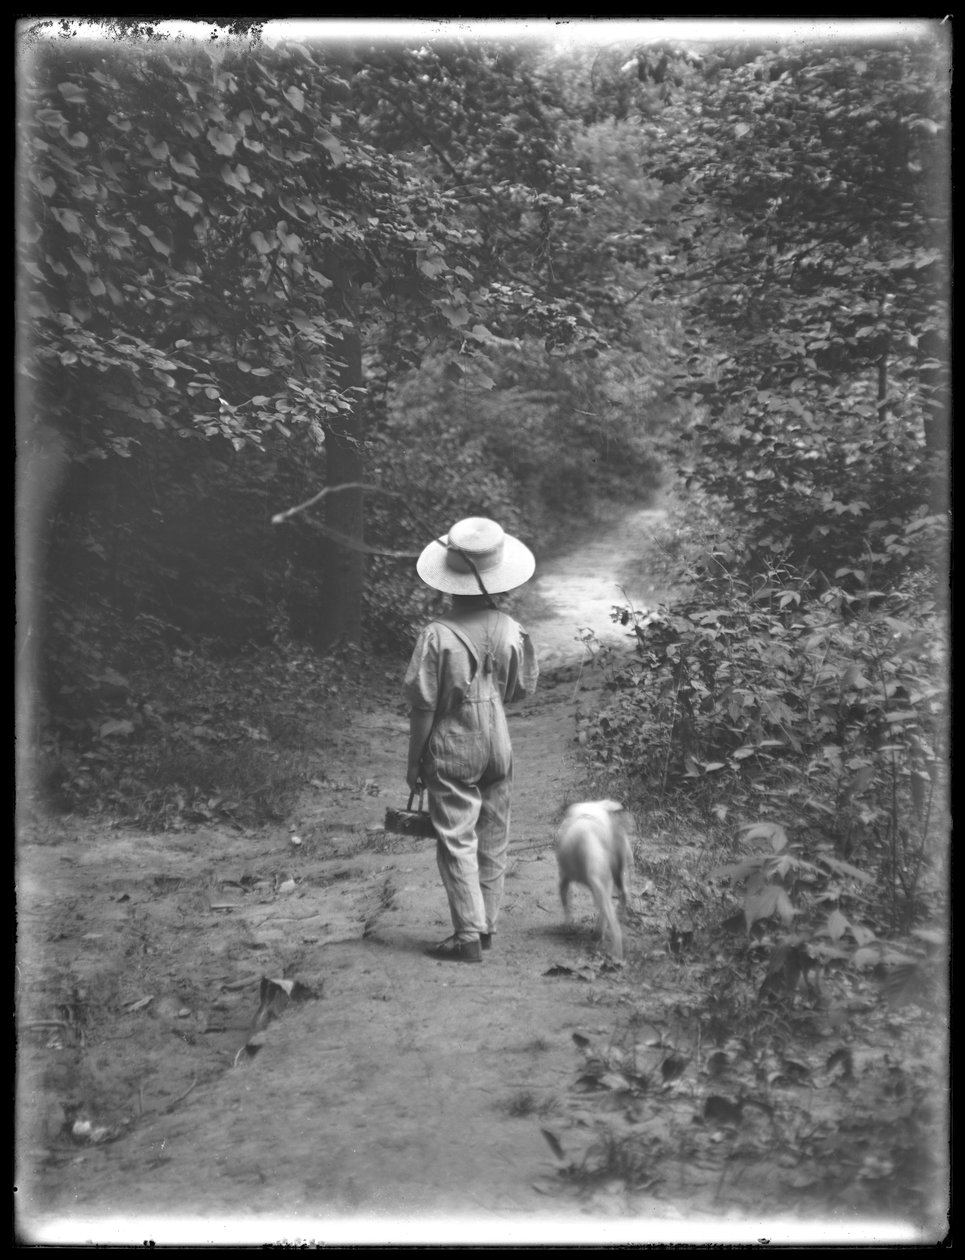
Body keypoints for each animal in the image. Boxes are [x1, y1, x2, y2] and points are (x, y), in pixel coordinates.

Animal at [554, 801, 639, 957]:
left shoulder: (565, 878)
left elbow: (566, 902)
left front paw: (569, 925)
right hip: (617, 875)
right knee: (622, 897)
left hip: (600, 880)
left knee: (610, 916)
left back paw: (613, 948)